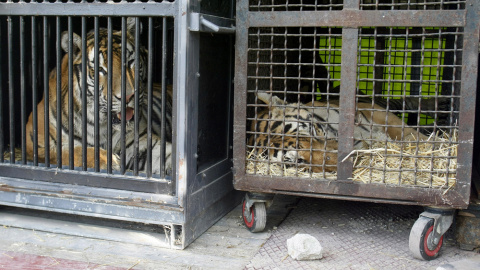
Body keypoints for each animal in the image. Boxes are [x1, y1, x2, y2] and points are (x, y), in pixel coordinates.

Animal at [24, 19, 173, 175]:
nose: (127, 96)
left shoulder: (141, 142)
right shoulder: (36, 146)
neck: (101, 125)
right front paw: (108, 161)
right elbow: (71, 152)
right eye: (101, 70)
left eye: (130, 62)